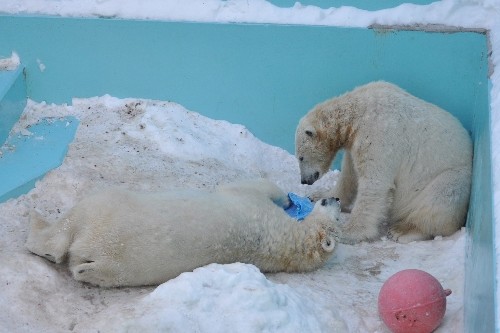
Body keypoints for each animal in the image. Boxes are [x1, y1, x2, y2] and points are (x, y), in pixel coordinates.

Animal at [26, 178, 340, 286]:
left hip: (107, 211)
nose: (336, 199)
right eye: (337, 214)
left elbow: (255, 185)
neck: (284, 243)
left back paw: (36, 230)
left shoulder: (251, 202)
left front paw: (286, 198)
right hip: (115, 269)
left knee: (73, 223)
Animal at [296, 80, 472, 241]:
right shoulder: (356, 141)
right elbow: (349, 175)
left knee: (441, 197)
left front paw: (347, 231)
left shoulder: (379, 133)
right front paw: (318, 195)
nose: (304, 180)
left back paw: (401, 231)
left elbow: (375, 183)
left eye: (301, 157)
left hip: (455, 177)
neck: (358, 110)